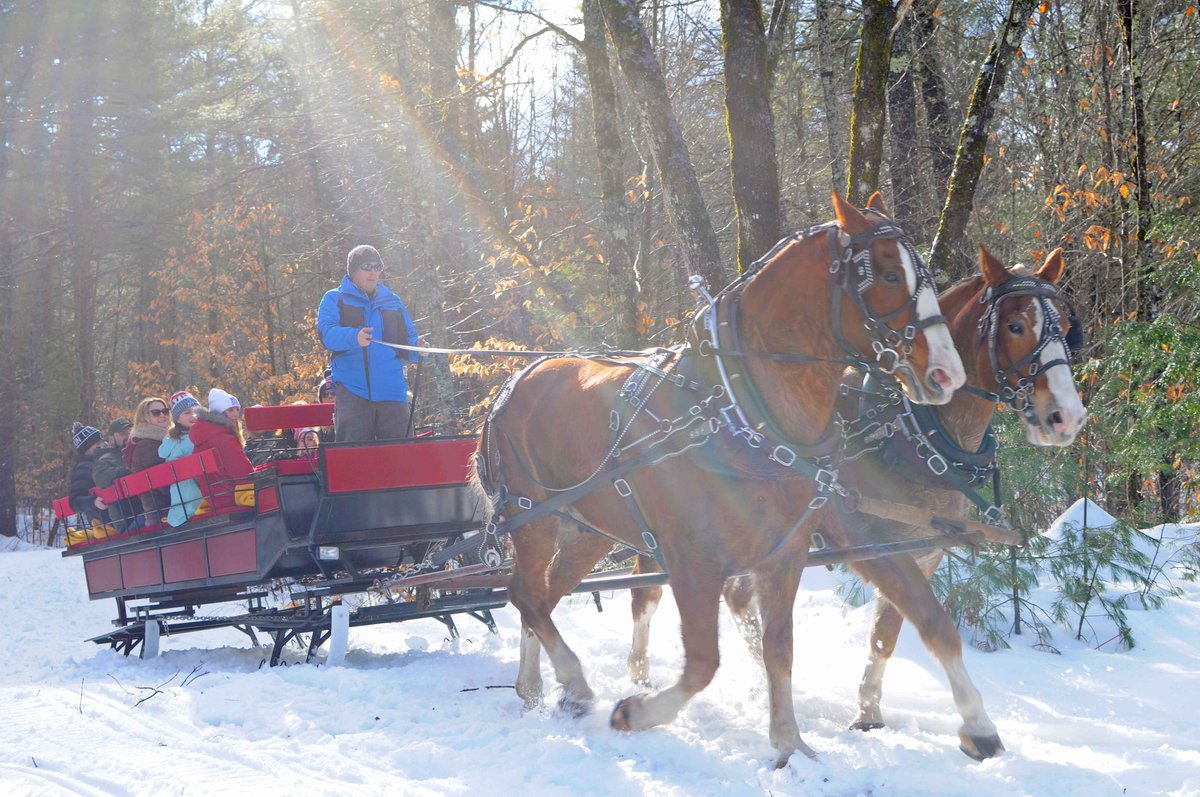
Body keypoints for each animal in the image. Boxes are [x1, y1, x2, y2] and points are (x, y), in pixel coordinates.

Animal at [473, 192, 966, 765]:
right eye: (888, 275)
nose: (948, 374)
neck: (739, 410)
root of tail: (514, 382)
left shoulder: (785, 551)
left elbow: (778, 648)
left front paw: (789, 743)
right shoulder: (692, 560)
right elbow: (704, 662)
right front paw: (635, 712)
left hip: (582, 532)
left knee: (539, 597)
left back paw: (535, 687)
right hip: (530, 518)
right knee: (526, 596)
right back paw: (572, 682)